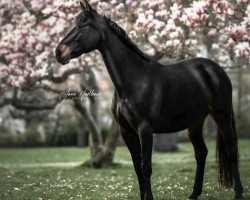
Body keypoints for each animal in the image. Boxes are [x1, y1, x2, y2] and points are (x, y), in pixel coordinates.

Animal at [55, 0, 244, 199]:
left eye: (83, 26)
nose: (59, 52)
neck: (135, 78)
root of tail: (217, 70)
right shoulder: (127, 132)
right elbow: (137, 167)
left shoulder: (145, 129)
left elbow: (146, 167)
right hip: (195, 123)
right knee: (201, 153)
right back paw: (194, 194)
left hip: (222, 116)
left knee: (231, 151)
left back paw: (238, 192)